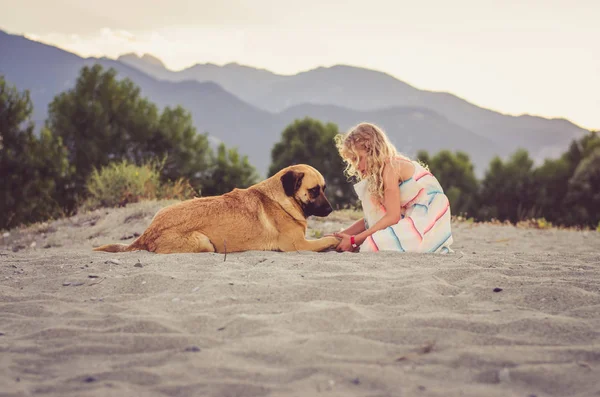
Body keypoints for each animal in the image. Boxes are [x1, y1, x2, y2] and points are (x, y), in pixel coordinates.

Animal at [91, 164, 340, 254]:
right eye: (314, 191)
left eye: (324, 188)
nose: (330, 210)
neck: (282, 199)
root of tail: (146, 234)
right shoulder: (298, 245)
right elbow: (325, 240)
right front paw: (334, 241)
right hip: (204, 242)